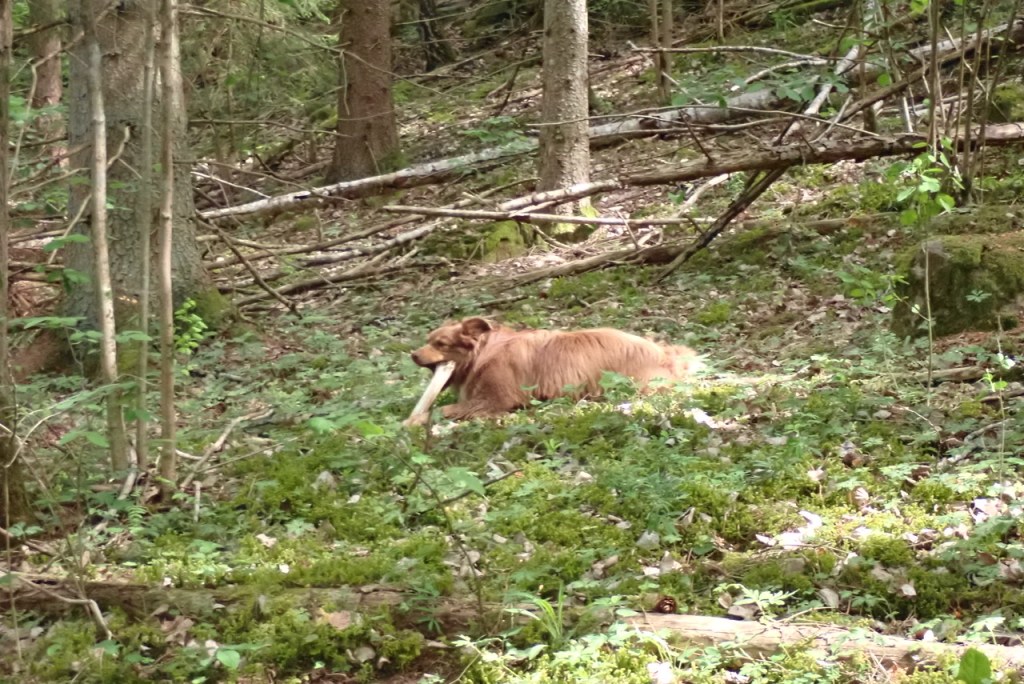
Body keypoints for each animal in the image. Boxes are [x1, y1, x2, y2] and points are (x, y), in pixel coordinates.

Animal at [409, 317, 698, 421]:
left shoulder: (496, 400)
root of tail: (665, 355)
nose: (412, 354)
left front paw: (413, 422)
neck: (485, 352)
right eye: (428, 339)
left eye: (441, 343)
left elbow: (440, 410)